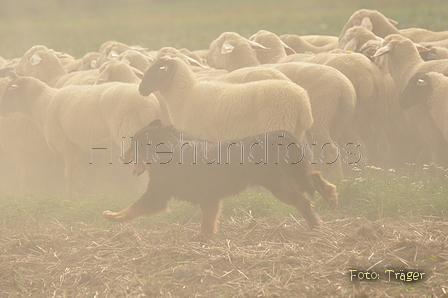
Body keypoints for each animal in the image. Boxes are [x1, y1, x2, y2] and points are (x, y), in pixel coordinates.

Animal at [0, 76, 162, 193]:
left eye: (8, 93)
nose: (2, 111)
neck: (42, 104)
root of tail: (147, 106)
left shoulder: (67, 147)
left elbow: (69, 175)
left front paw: (69, 196)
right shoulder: (85, 151)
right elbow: (86, 177)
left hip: (128, 131)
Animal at [138, 56, 314, 144]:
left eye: (156, 70)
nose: (140, 89)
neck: (185, 96)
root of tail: (302, 99)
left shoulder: (200, 134)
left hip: (278, 124)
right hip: (296, 129)